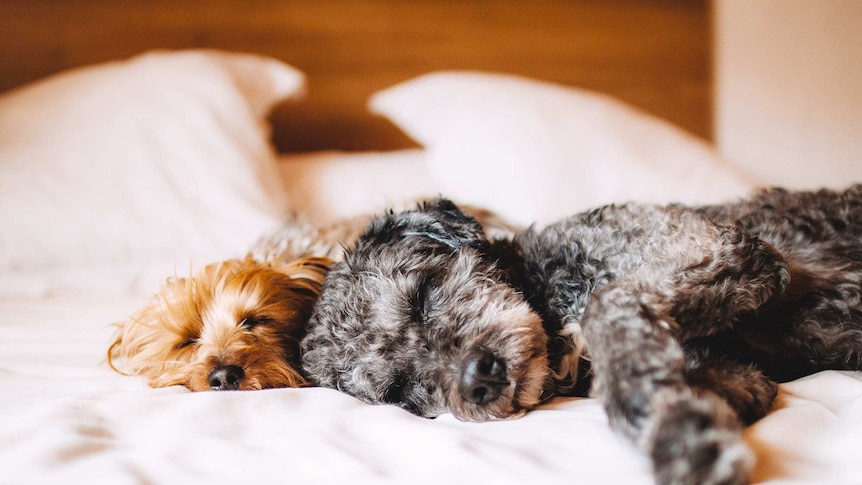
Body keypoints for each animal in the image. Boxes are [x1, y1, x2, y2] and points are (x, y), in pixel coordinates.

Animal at [302, 185, 862, 484]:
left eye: (421, 295)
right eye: (401, 390)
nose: (479, 379)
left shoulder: (722, 247)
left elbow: (604, 305)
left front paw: (680, 439)